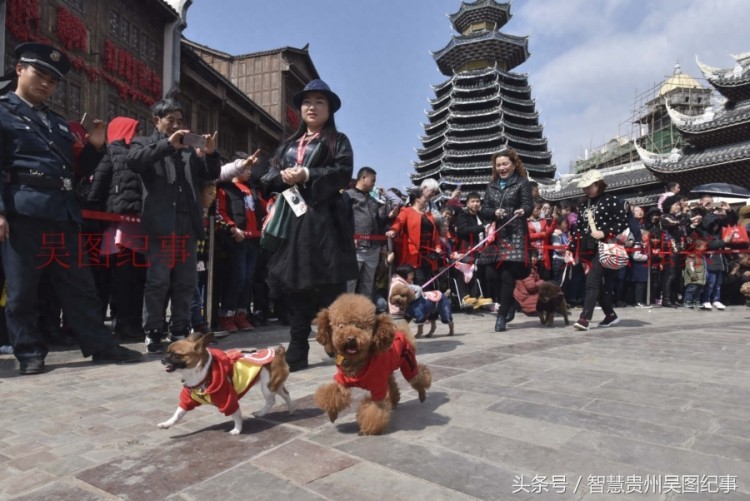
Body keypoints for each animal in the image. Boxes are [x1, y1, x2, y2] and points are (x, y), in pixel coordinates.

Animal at [158, 332, 294, 434]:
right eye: (167, 352)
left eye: (176, 355)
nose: (162, 359)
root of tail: (278, 352)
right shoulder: (188, 399)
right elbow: (178, 413)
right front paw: (167, 423)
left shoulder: (228, 400)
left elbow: (236, 415)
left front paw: (237, 430)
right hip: (276, 385)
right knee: (286, 395)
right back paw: (290, 410)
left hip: (267, 386)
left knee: (271, 401)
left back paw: (262, 412)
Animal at [316, 292, 434, 434]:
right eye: (341, 326)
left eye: (360, 326)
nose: (350, 338)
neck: (358, 362)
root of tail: (401, 332)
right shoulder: (342, 381)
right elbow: (334, 394)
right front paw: (332, 414)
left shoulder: (378, 386)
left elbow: (374, 409)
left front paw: (368, 429)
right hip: (388, 373)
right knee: (393, 385)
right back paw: (394, 401)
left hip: (408, 363)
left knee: (419, 376)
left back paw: (422, 394)